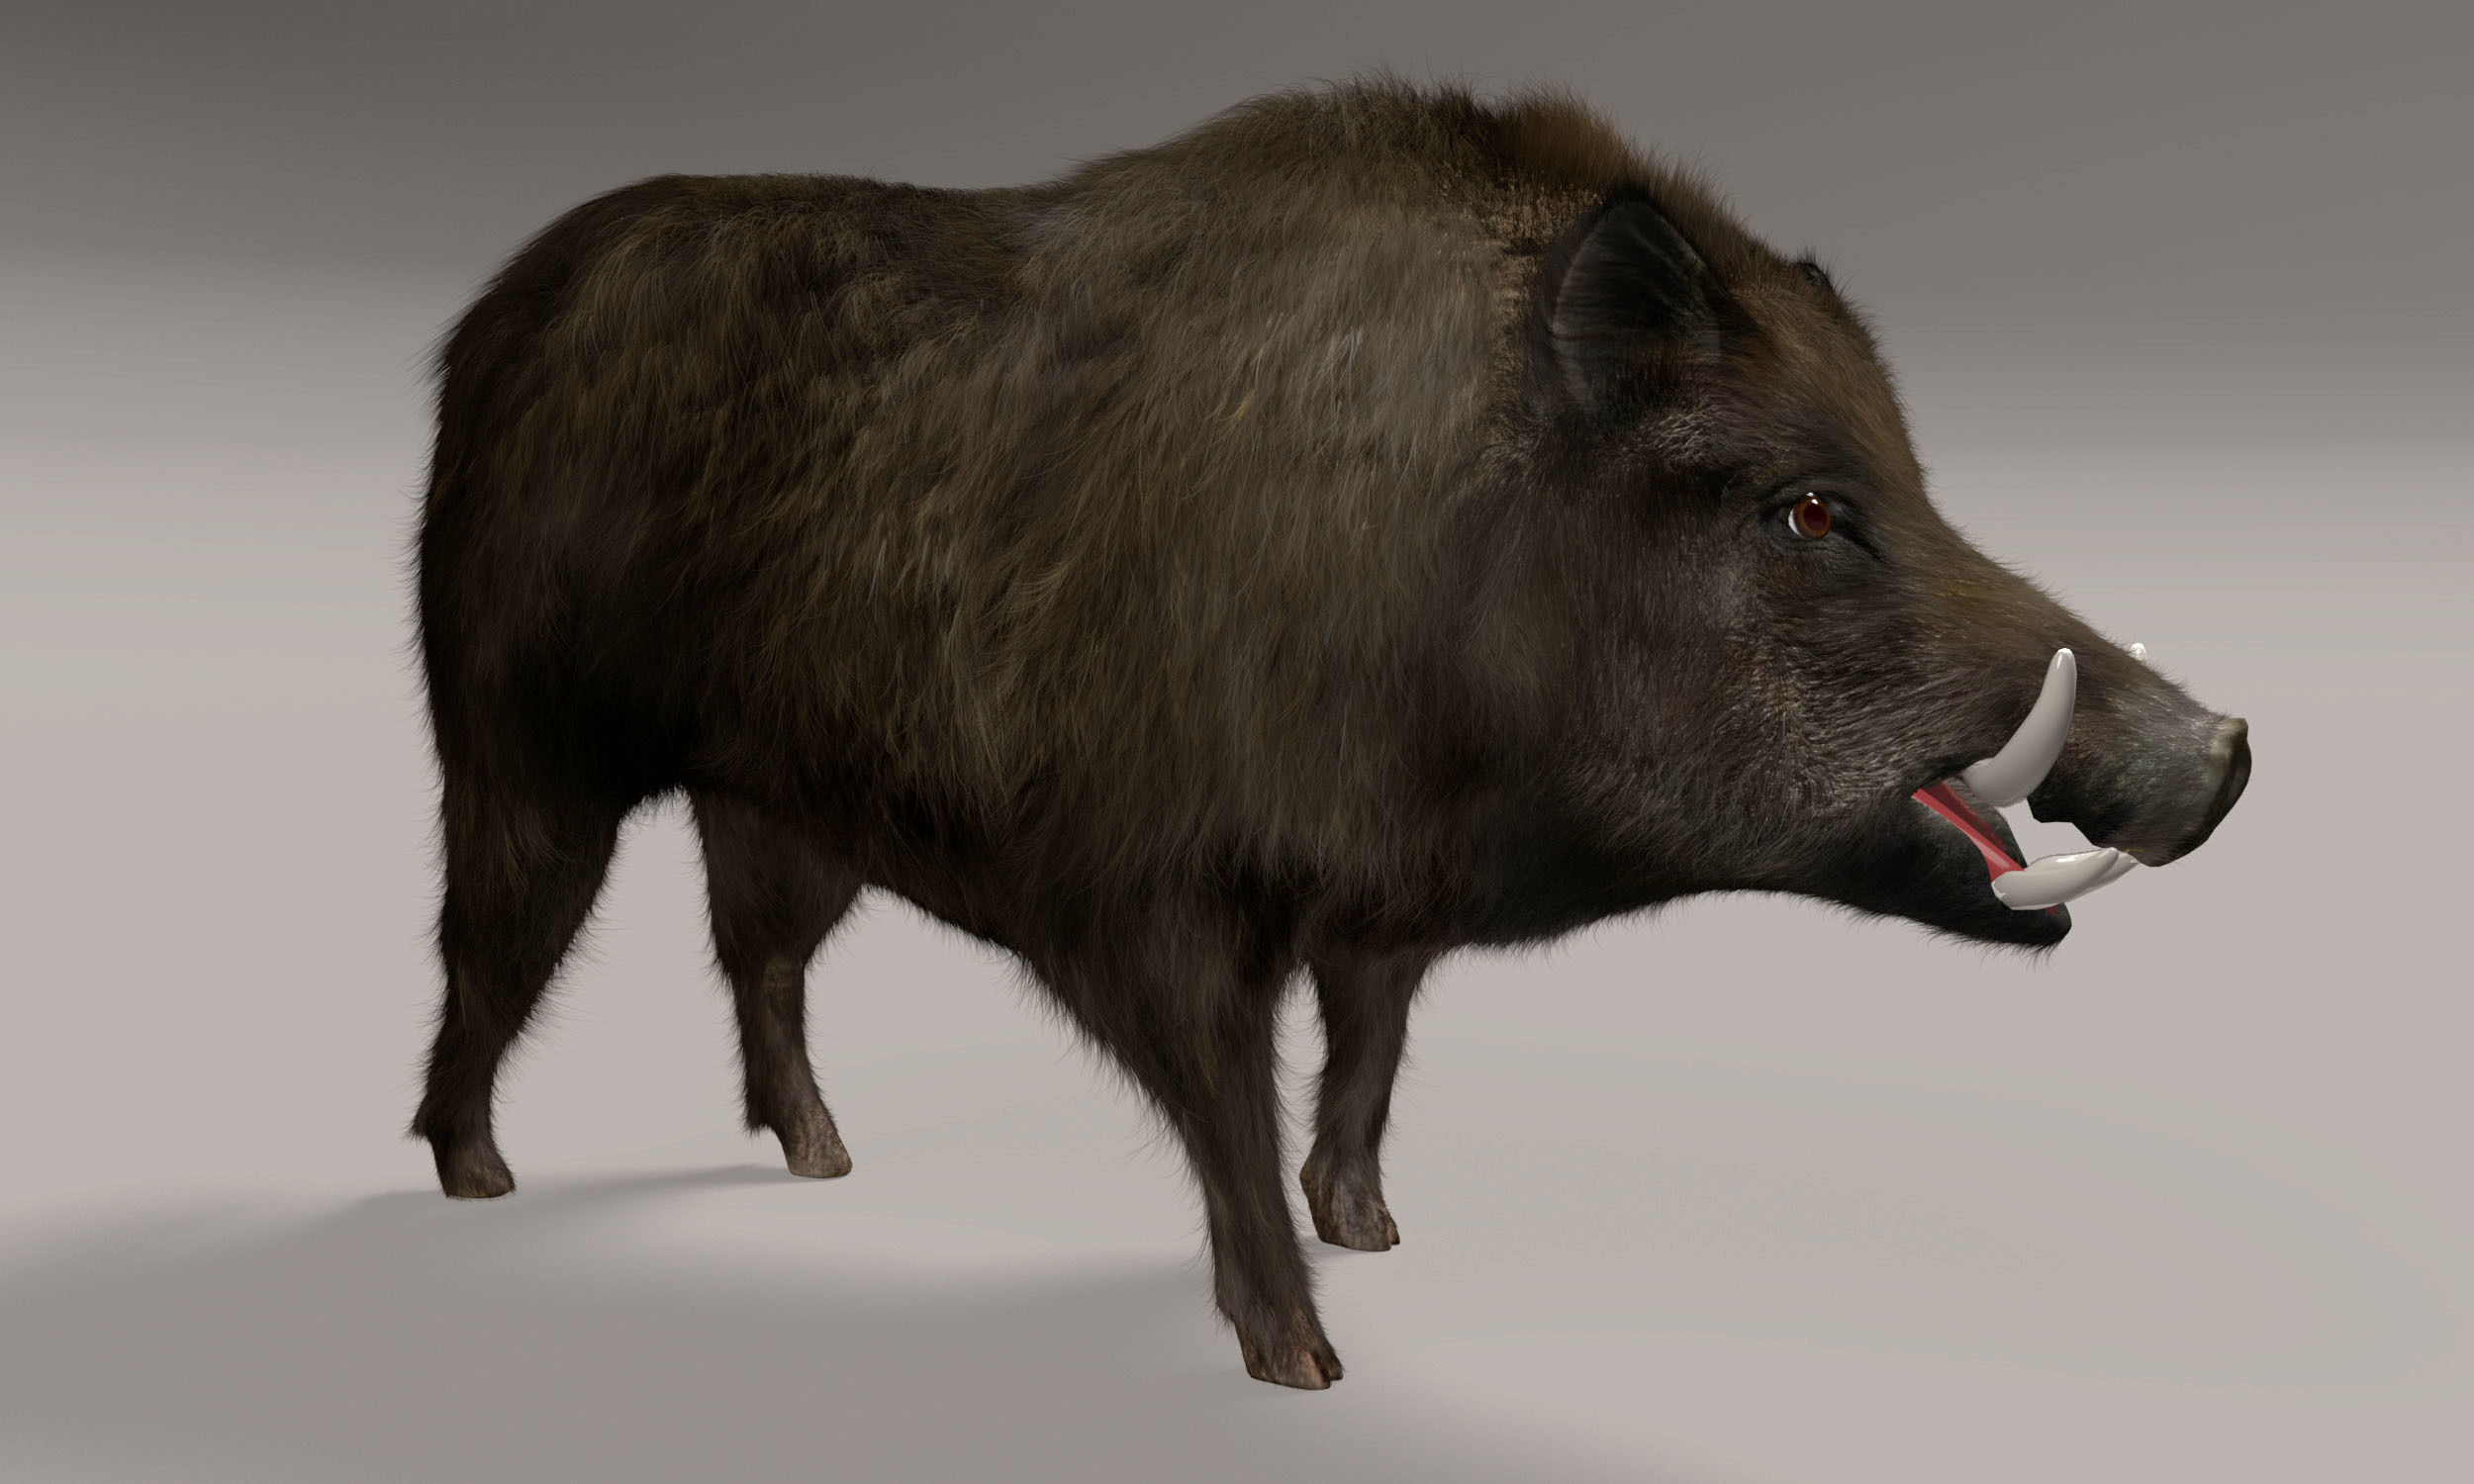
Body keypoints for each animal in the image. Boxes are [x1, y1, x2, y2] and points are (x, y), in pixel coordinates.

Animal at [411, 78, 2250, 1388]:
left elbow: (1365, 1062)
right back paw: (477, 1179)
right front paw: (1307, 1360)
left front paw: (1376, 1232)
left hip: (777, 801)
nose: (2226, 751)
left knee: (759, 952)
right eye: (1806, 508)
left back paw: (823, 1160)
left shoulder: (1381, 905)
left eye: (1912, 472)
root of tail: (493, 315)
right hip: (512, 737)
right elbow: (1224, 1099)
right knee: (494, 941)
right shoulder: (1144, 894)